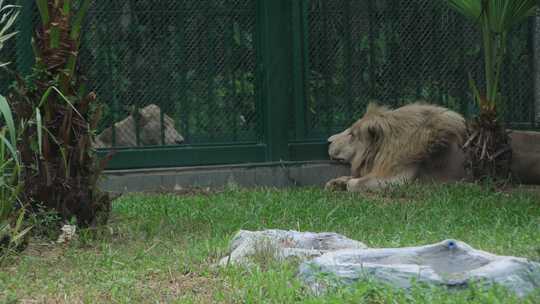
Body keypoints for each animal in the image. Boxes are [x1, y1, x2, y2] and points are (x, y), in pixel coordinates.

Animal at [324, 103, 468, 191]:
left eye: (352, 134)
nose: (328, 141)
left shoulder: (398, 180)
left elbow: (355, 183)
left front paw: (345, 184)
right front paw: (336, 182)